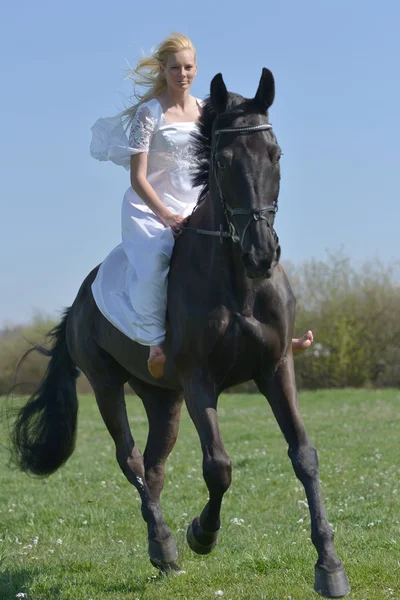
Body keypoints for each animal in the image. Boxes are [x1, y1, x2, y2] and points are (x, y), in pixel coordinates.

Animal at [10, 69, 350, 596]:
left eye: (275, 154)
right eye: (222, 161)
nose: (261, 253)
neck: (239, 283)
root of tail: (83, 298)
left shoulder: (276, 367)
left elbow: (304, 455)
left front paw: (329, 564)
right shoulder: (199, 381)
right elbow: (219, 466)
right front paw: (202, 534)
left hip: (162, 398)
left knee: (154, 467)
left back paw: (161, 550)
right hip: (107, 385)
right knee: (131, 461)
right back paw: (168, 543)